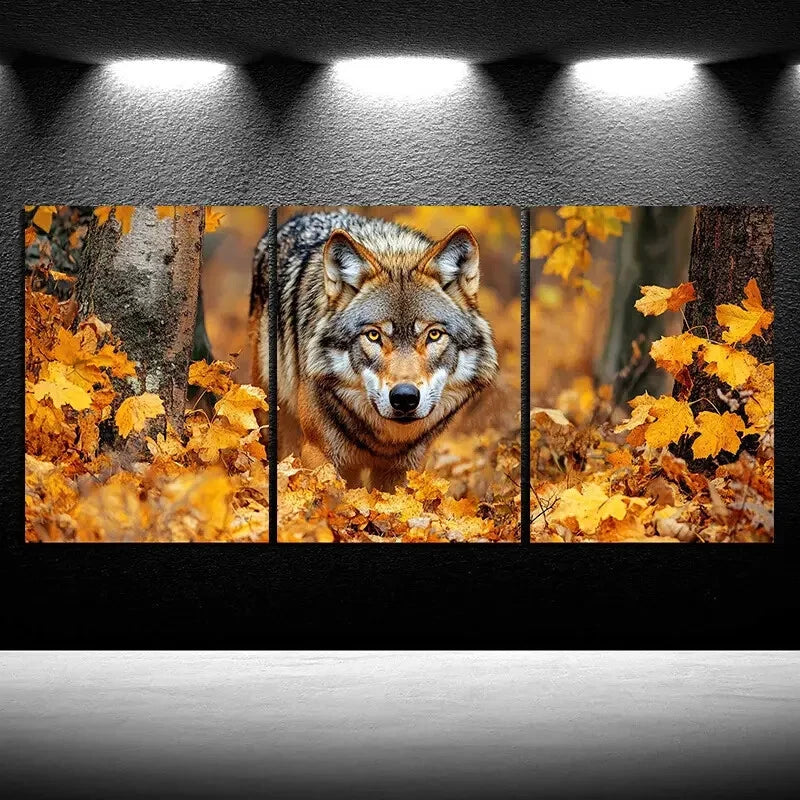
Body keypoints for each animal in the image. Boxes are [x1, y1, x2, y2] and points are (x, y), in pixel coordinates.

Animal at [250, 210, 498, 491]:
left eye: (434, 335)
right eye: (374, 335)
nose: (404, 397)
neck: (384, 442)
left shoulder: (405, 467)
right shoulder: (318, 455)